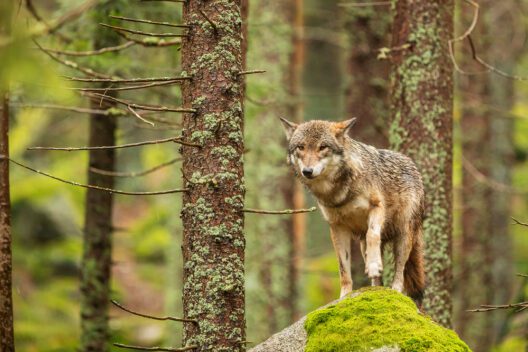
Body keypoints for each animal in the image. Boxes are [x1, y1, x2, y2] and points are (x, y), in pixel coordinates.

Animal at [280, 117, 424, 302]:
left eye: (322, 147)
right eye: (301, 147)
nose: (307, 171)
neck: (338, 193)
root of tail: (412, 165)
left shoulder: (377, 207)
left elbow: (372, 235)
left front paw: (373, 265)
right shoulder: (337, 227)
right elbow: (343, 268)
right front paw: (345, 296)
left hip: (403, 237)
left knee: (400, 271)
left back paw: (395, 291)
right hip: (363, 245)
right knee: (378, 276)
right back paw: (375, 290)